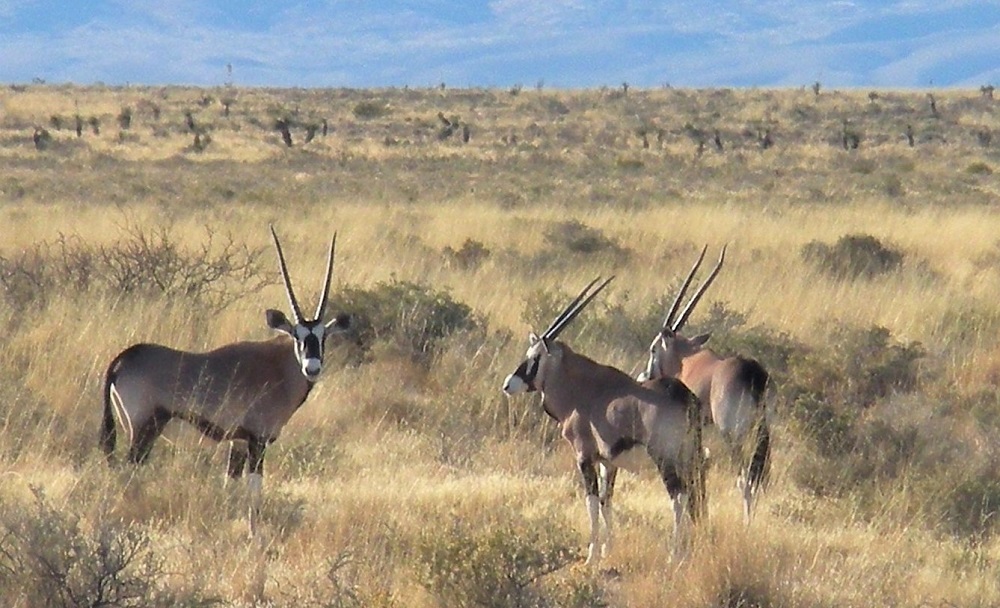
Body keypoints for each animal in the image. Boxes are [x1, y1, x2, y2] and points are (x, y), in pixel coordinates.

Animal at [101, 226, 352, 536]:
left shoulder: (238, 441)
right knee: (129, 469)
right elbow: (254, 488)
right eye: (297, 335)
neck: (279, 367)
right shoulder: (257, 440)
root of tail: (123, 360)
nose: (312, 367)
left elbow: (229, 484)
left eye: (323, 336)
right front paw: (254, 534)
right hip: (145, 429)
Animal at [500, 278, 704, 564]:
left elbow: (592, 502)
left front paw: (592, 556)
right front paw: (608, 550)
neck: (582, 390)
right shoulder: (609, 462)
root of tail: (682, 395)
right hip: (690, 457)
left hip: (666, 459)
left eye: (535, 358)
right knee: (695, 497)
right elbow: (608, 501)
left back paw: (675, 555)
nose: (509, 384)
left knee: (679, 498)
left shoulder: (584, 457)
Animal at [640, 246, 772, 524]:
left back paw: (747, 522)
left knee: (745, 479)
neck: (686, 359)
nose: (646, 375)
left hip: (733, 434)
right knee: (760, 476)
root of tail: (751, 373)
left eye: (653, 349)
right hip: (764, 432)